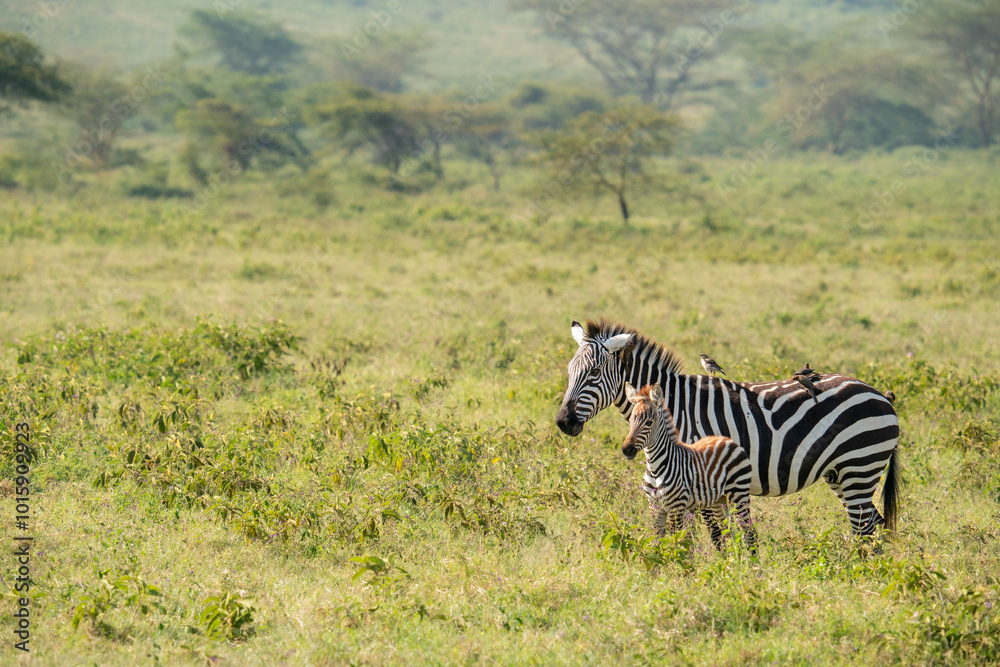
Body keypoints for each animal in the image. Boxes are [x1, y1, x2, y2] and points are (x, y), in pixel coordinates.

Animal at [623, 382, 757, 553]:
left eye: (649, 422)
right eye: (631, 419)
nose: (626, 449)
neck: (655, 469)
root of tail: (728, 440)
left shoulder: (675, 507)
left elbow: (676, 544)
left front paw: (676, 561)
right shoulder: (654, 507)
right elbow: (658, 544)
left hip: (740, 494)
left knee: (750, 533)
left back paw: (753, 561)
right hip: (719, 500)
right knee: (730, 533)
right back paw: (734, 559)